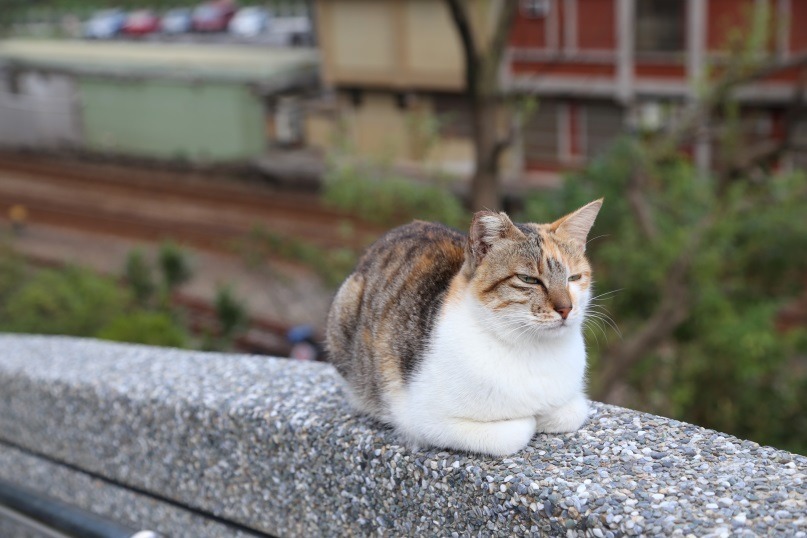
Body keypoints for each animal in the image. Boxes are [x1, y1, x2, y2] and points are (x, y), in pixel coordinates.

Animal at [326, 199, 600, 454]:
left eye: (574, 278)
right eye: (528, 279)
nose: (566, 308)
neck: (534, 349)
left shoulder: (572, 401)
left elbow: (573, 411)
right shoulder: (424, 419)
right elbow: (514, 432)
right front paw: (531, 419)